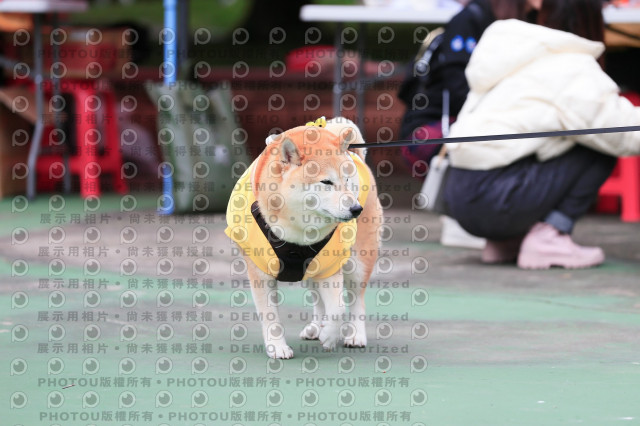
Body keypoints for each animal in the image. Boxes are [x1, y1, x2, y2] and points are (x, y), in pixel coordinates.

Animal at [225, 117, 382, 359]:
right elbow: (270, 315)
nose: (356, 209)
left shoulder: (331, 265)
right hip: (311, 268)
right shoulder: (260, 272)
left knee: (357, 299)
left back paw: (355, 335)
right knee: (318, 299)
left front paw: (330, 335)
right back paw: (316, 328)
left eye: (347, 179)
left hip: (358, 261)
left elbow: (338, 308)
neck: (298, 231)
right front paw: (277, 346)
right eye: (326, 182)